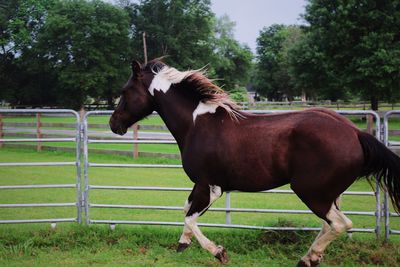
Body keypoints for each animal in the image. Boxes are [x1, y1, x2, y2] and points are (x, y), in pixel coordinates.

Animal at [108, 59, 400, 266]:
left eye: (125, 91)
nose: (113, 124)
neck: (196, 124)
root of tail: (355, 133)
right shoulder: (202, 186)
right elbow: (185, 211)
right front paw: (182, 244)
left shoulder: (209, 186)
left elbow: (190, 217)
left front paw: (219, 252)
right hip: (329, 194)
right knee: (330, 224)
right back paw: (312, 258)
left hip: (311, 191)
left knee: (340, 224)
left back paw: (307, 259)